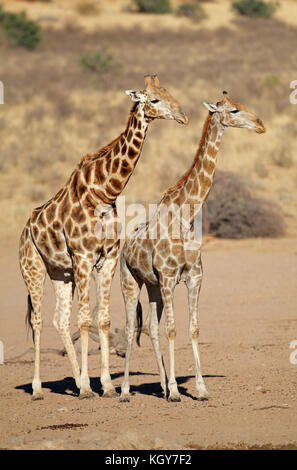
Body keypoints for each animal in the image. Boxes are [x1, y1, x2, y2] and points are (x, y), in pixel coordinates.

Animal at [19, 73, 187, 400]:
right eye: (155, 99)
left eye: (170, 93)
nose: (183, 116)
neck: (105, 192)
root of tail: (24, 231)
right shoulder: (84, 257)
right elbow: (85, 321)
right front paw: (88, 388)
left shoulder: (106, 259)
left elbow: (104, 320)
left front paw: (106, 386)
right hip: (33, 267)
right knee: (38, 321)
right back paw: (38, 388)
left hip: (61, 273)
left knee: (59, 319)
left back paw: (74, 380)